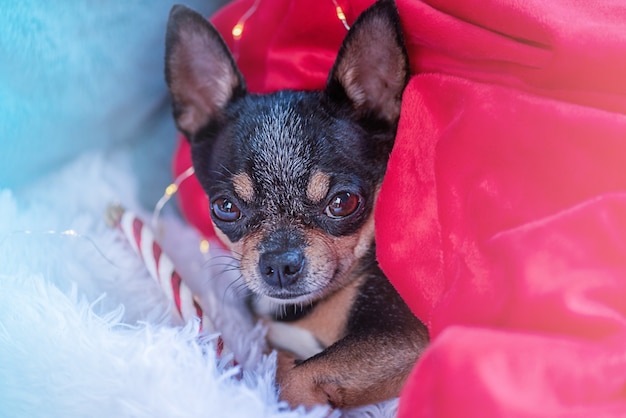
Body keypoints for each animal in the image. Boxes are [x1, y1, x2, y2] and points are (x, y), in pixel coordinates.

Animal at [165, 0, 428, 410]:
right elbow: (279, 358)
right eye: (225, 207)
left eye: (344, 202)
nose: (278, 264)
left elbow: (294, 376)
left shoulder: (406, 337)